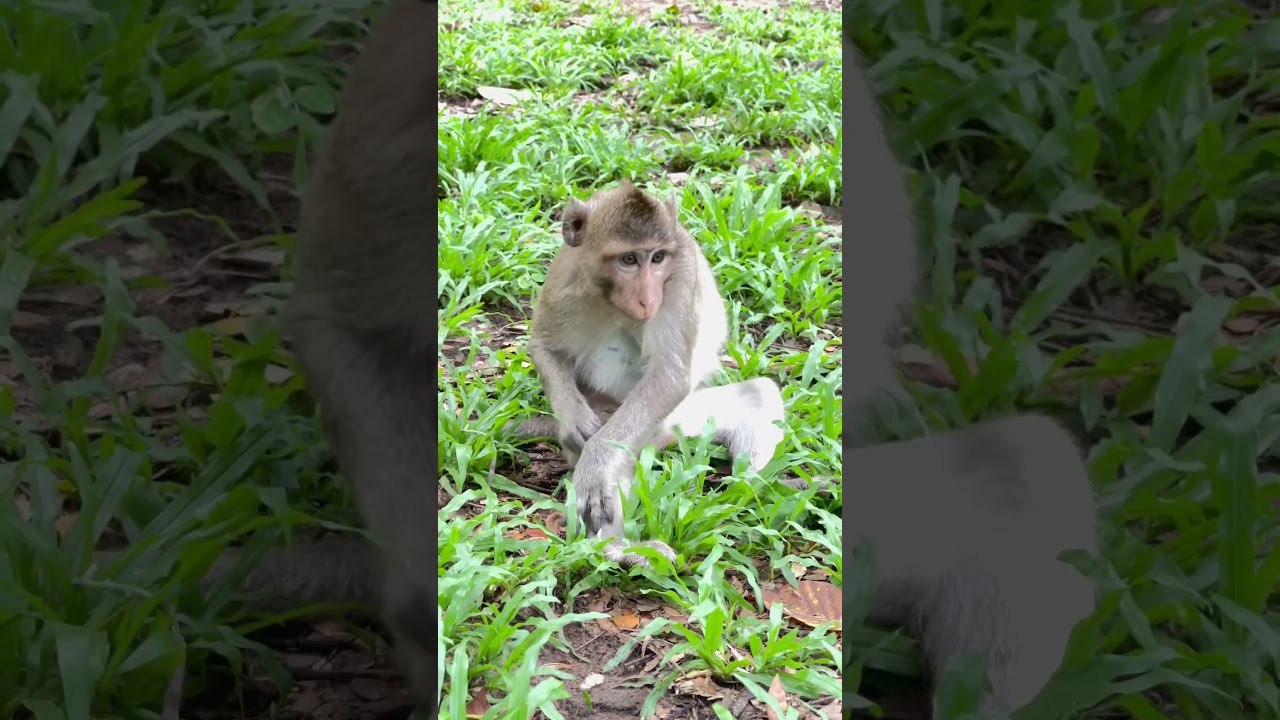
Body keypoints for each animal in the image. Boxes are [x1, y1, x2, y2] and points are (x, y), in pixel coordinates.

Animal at [512, 181, 789, 567]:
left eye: (658, 258)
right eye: (629, 260)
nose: (647, 299)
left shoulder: (681, 276)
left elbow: (670, 376)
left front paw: (596, 461)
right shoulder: (565, 277)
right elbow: (545, 348)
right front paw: (573, 419)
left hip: (670, 420)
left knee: (757, 394)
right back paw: (617, 548)